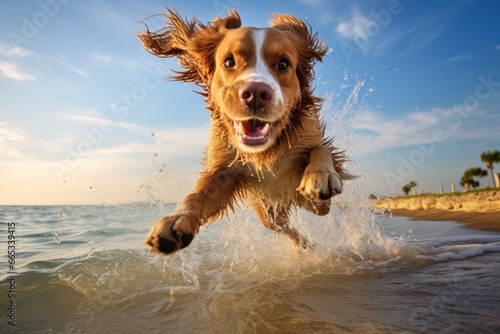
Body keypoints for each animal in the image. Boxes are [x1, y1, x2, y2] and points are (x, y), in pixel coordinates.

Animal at [137, 8, 352, 256]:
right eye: (229, 61)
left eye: (283, 64)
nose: (256, 93)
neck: (265, 151)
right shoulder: (225, 169)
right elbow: (197, 196)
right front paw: (176, 221)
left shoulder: (309, 145)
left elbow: (319, 150)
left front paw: (319, 175)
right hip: (268, 213)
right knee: (284, 227)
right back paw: (303, 245)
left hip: (311, 205)